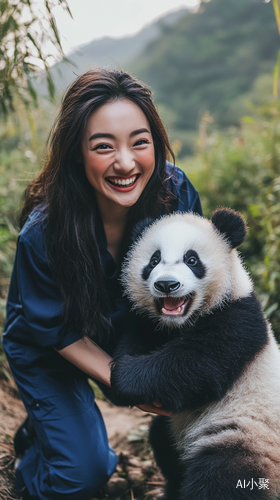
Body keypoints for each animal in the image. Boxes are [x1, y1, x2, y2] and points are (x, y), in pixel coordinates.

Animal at [110, 208, 280, 500]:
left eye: (192, 260)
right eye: (154, 260)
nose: (167, 284)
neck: (180, 323)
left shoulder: (238, 319)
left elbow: (196, 366)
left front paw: (122, 376)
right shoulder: (154, 326)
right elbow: (137, 339)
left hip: (248, 437)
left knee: (223, 477)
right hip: (178, 429)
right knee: (162, 441)